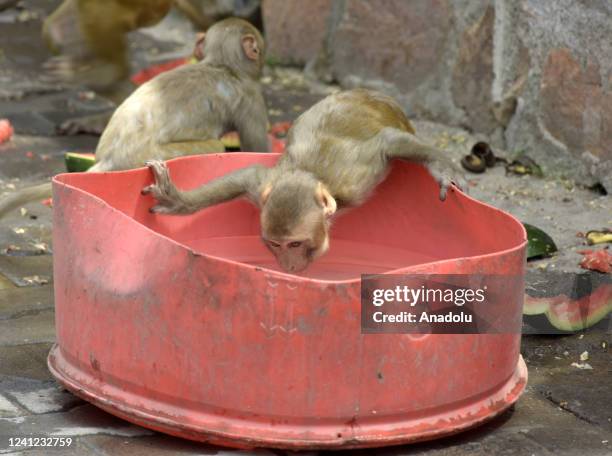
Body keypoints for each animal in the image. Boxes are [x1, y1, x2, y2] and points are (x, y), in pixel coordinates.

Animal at [0, 20, 268, 221]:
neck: (221, 64)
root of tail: (109, 160)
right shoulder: (251, 97)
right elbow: (257, 150)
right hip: (152, 156)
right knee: (216, 145)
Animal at [142, 89, 464, 274]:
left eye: (295, 244)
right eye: (275, 244)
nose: (289, 266)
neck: (312, 177)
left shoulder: (358, 177)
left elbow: (387, 143)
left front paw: (442, 168)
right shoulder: (263, 188)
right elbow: (246, 174)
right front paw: (178, 200)